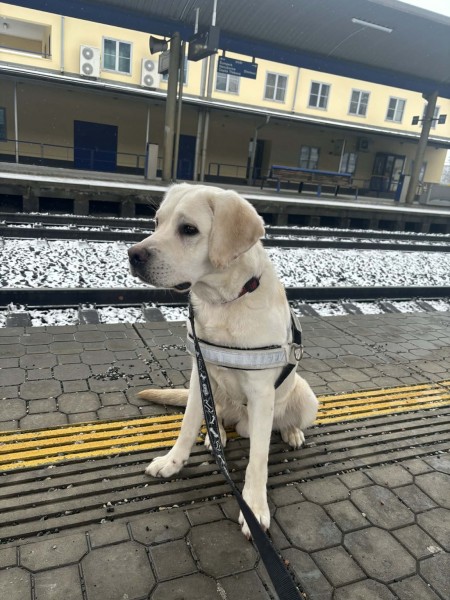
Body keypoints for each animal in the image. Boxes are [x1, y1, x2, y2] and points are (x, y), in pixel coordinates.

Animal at [128, 183, 318, 538]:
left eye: (189, 229)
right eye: (157, 222)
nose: (133, 254)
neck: (224, 302)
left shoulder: (261, 392)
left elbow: (258, 459)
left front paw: (254, 507)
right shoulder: (198, 374)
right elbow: (188, 426)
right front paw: (173, 462)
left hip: (306, 396)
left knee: (284, 423)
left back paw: (291, 433)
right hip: (214, 395)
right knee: (216, 420)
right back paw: (217, 436)